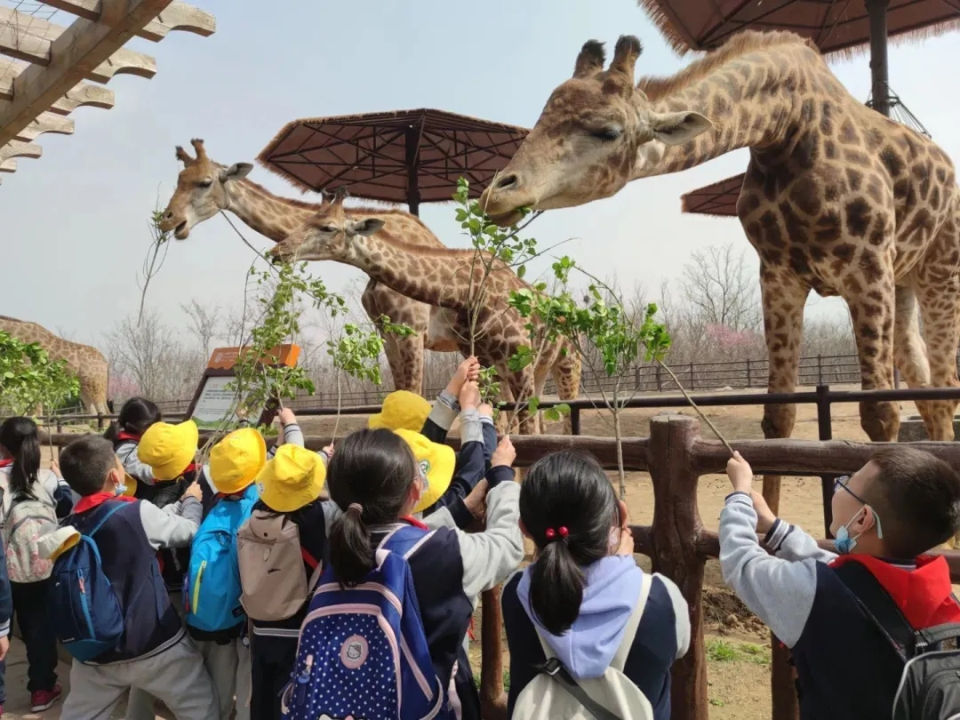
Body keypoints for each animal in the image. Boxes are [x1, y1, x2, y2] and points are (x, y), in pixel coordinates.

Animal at [270, 191, 584, 434]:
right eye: (306, 220)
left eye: (328, 227)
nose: (278, 251)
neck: (470, 290)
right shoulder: (485, 362)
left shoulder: (514, 361)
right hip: (537, 369)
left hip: (567, 365)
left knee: (566, 418)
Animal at [480, 32, 960, 450]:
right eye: (541, 117)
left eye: (608, 131)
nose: (497, 193)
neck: (786, 126)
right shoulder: (779, 274)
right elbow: (778, 415)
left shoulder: (866, 266)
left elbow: (880, 416)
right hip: (902, 282)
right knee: (927, 388)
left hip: (939, 273)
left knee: (944, 386)